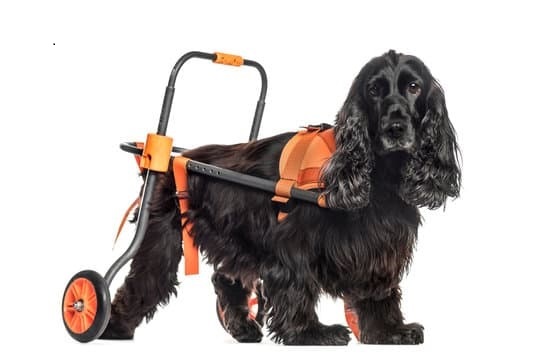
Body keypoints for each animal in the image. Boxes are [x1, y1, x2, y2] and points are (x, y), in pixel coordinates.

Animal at [99, 50, 462, 346]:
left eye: (414, 87)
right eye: (374, 90)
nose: (395, 128)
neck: (379, 175)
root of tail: (176, 156)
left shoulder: (381, 244)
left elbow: (378, 290)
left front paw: (389, 332)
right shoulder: (293, 242)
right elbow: (297, 285)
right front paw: (310, 333)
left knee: (225, 279)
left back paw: (243, 328)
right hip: (163, 232)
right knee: (145, 278)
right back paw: (108, 324)